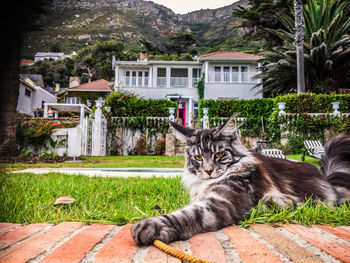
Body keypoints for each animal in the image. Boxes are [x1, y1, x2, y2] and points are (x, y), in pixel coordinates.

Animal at [131, 115, 350, 248]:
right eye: (198, 157)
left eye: (219, 155)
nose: (208, 171)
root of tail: (326, 179)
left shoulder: (218, 203)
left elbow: (184, 215)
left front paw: (152, 226)